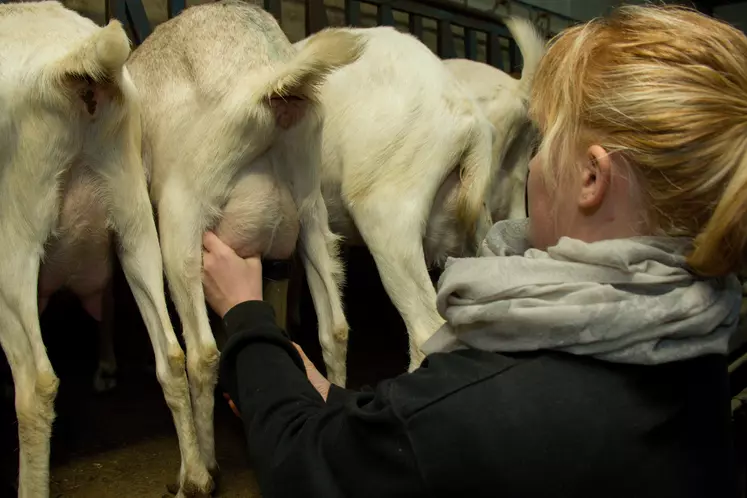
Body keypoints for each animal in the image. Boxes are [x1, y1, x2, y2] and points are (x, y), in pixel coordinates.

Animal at [0, 1, 209, 496]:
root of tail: (73, 67)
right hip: (134, 218)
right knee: (172, 354)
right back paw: (194, 476)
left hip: (15, 240)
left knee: (36, 385)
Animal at [125, 0, 362, 484]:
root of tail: (271, 80)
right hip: (311, 209)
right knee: (335, 327)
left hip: (182, 212)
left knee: (200, 352)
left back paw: (200, 473)